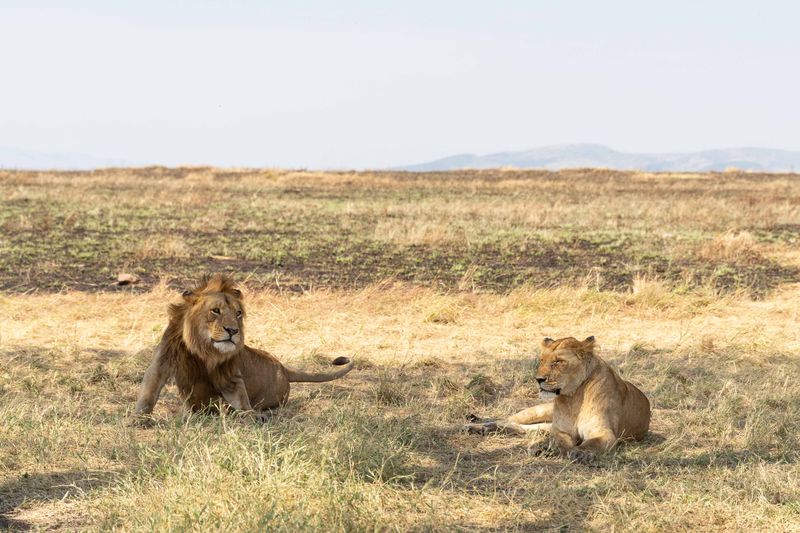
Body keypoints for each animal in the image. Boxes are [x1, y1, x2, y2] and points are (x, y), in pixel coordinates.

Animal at [131, 274, 353, 423]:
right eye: (215, 310)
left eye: (238, 313)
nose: (233, 331)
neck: (203, 349)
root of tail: (283, 368)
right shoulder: (162, 362)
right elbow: (148, 393)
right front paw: (137, 419)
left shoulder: (230, 375)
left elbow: (240, 402)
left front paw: (249, 416)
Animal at [464, 336, 650, 462]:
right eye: (542, 360)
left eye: (558, 362)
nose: (538, 379)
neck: (574, 397)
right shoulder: (561, 430)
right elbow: (560, 442)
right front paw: (549, 449)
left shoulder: (604, 433)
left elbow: (591, 443)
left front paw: (580, 452)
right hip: (538, 411)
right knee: (508, 420)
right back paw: (477, 426)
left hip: (543, 425)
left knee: (522, 428)